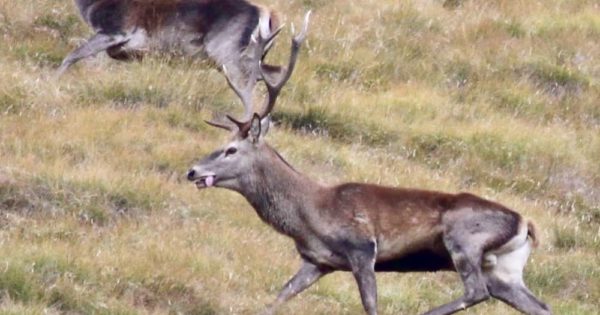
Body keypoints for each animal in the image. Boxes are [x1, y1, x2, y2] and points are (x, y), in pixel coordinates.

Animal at [185, 9, 552, 315]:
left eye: (231, 150)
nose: (193, 171)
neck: (309, 215)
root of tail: (526, 224)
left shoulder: (362, 248)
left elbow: (371, 305)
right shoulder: (317, 261)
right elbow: (277, 298)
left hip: (464, 239)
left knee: (476, 291)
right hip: (505, 269)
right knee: (540, 306)